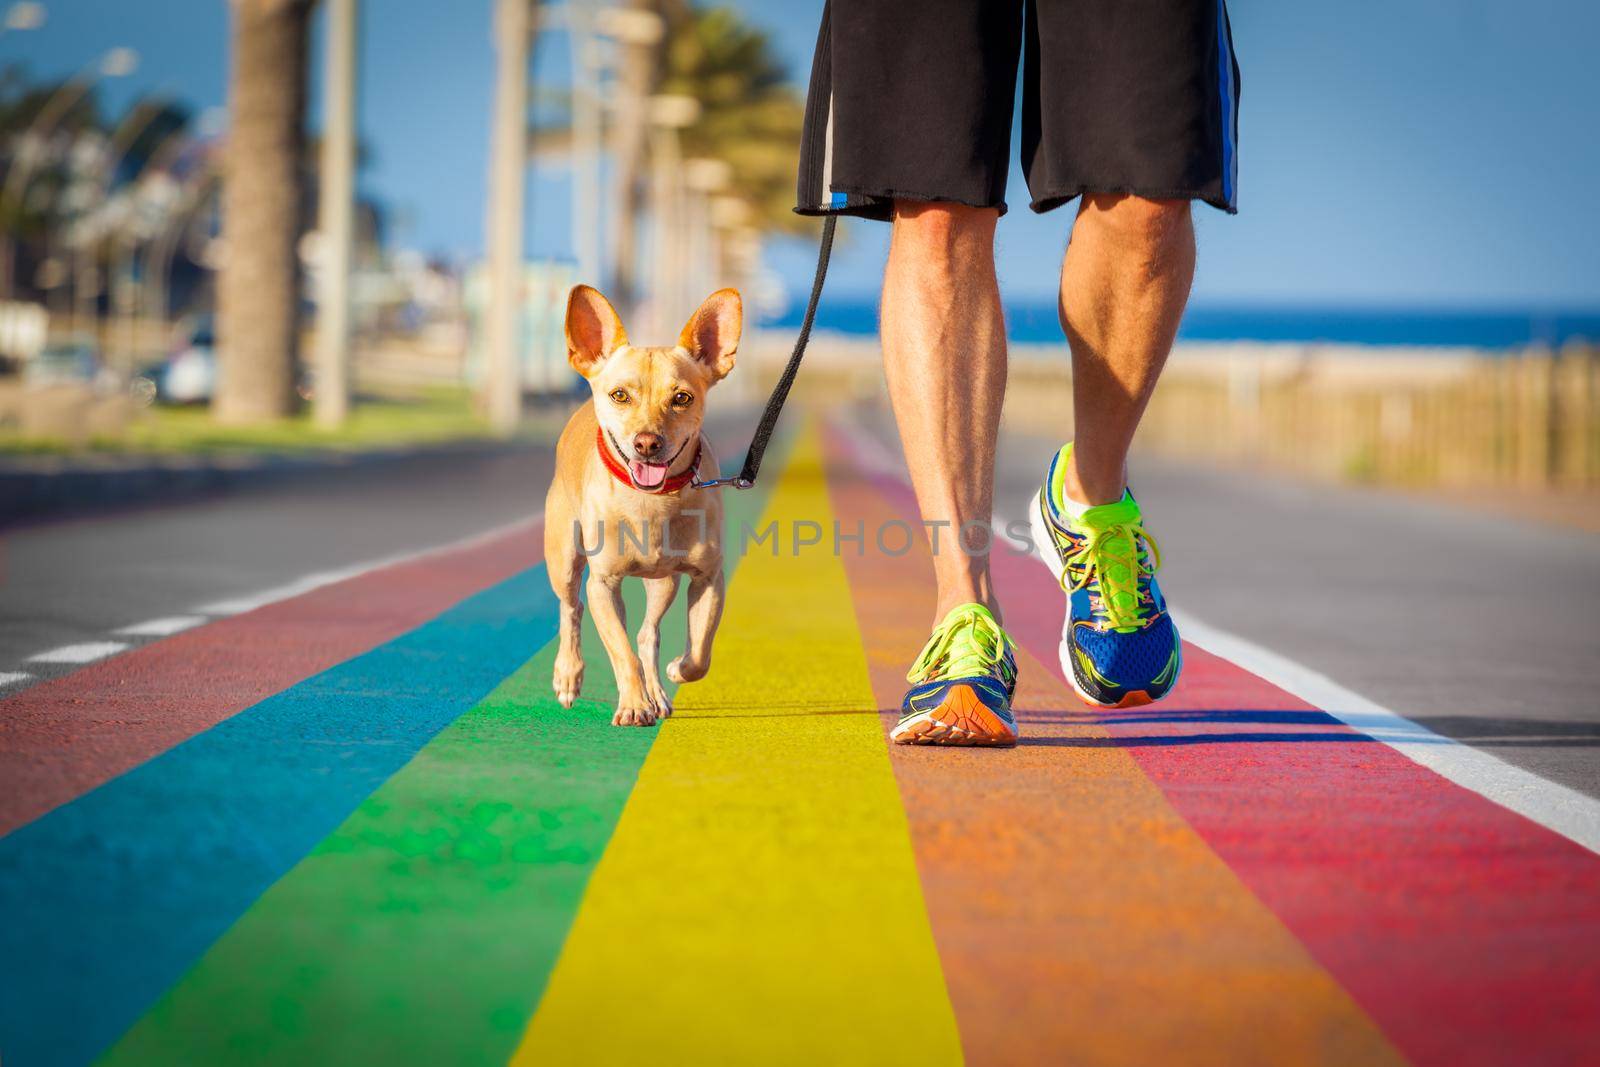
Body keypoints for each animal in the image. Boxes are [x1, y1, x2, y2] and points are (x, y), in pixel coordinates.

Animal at [537, 283, 736, 726]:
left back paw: (657, 693)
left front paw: (677, 670)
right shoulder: (603, 584)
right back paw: (568, 675)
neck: (652, 502)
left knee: (647, 634)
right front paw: (632, 704)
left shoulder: (708, 578)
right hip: (564, 559)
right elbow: (620, 652)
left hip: (663, 582)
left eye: (682, 398)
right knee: (570, 609)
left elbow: (700, 652)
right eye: (620, 395)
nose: (647, 443)